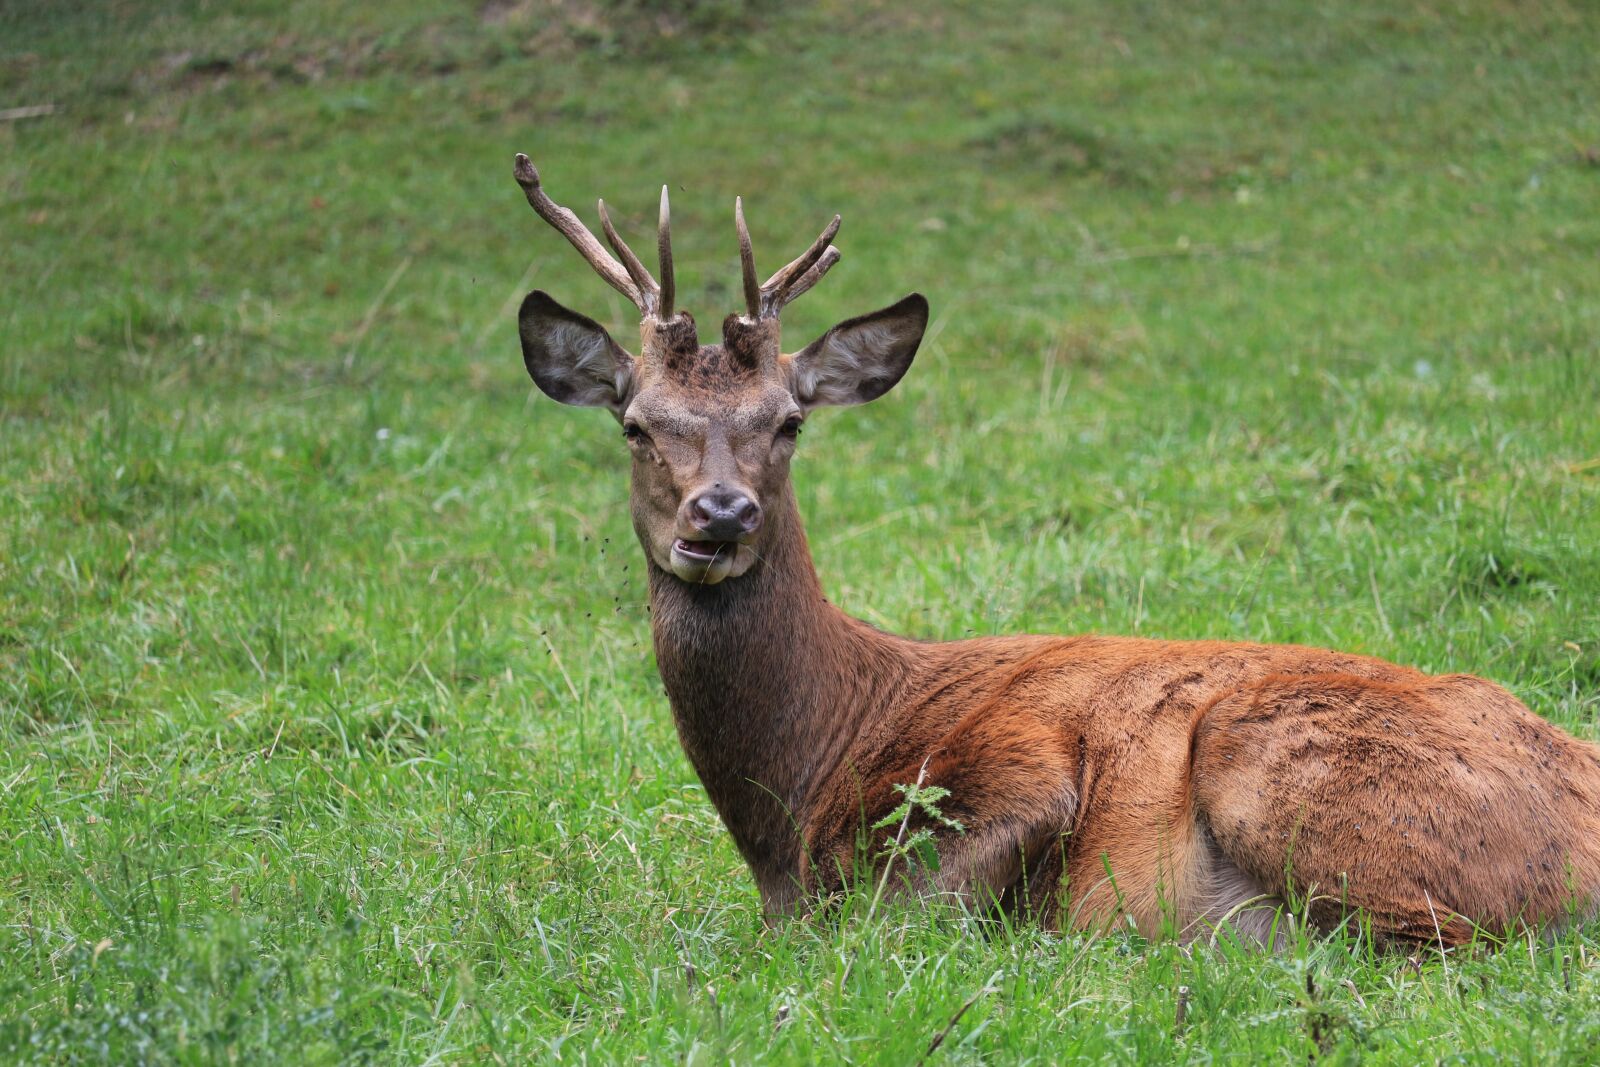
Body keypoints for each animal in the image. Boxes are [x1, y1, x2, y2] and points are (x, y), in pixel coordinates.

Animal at [509, 152, 1600, 947]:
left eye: (788, 421)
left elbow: (879, 917)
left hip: (1276, 764)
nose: (722, 513)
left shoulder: (1019, 761)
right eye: (636, 424)